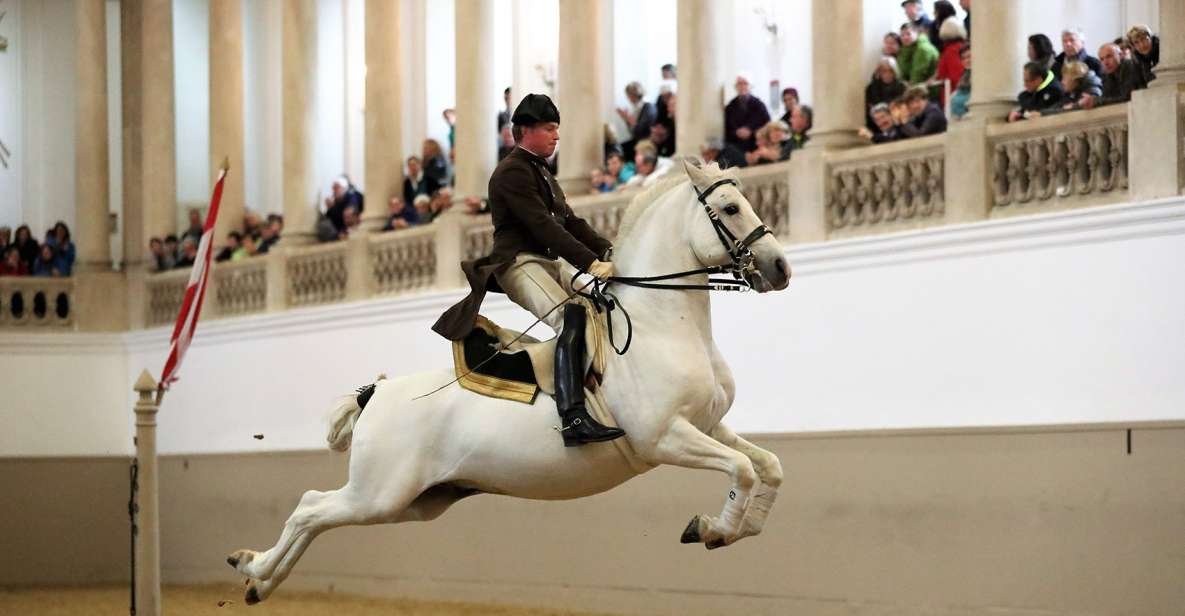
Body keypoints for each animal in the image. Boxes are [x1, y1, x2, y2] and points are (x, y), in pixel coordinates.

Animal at [226, 159, 791, 606]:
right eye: (731, 208)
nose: (779, 267)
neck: (662, 323)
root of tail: (377, 393)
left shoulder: (708, 426)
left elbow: (768, 467)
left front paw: (734, 528)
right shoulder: (666, 437)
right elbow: (742, 470)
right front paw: (713, 529)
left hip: (414, 502)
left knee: (317, 516)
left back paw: (258, 580)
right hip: (379, 493)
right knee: (309, 508)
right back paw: (253, 568)